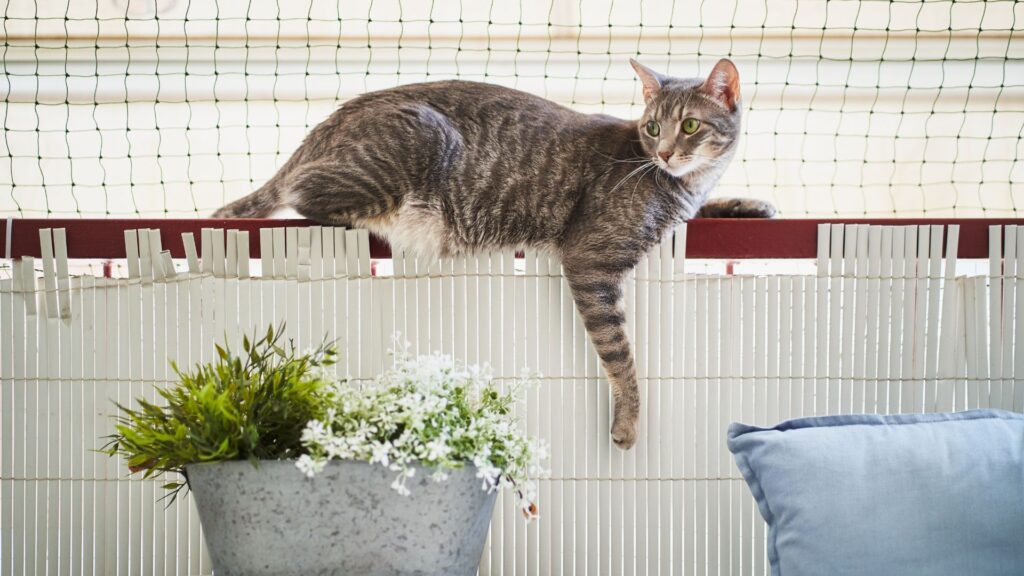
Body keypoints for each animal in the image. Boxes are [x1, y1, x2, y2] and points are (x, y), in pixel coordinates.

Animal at [218, 60, 774, 450]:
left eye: (690, 127)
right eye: (654, 127)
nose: (663, 153)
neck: (676, 184)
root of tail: (322, 128)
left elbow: (704, 213)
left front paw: (747, 203)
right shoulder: (591, 258)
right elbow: (620, 354)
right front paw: (629, 420)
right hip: (418, 143)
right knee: (303, 191)